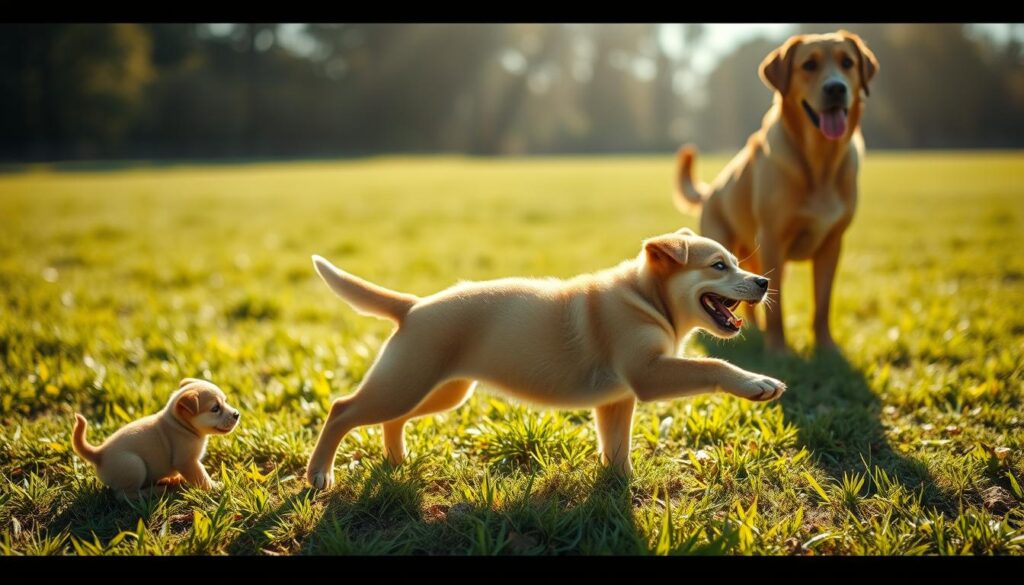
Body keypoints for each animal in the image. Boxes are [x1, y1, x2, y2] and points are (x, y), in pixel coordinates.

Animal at [71, 377, 240, 495]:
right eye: (215, 408)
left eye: (225, 401)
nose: (237, 414)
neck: (180, 425)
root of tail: (99, 453)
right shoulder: (187, 461)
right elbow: (202, 477)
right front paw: (215, 488)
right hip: (134, 465)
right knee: (125, 495)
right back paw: (155, 491)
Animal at [303, 228, 782, 489]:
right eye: (718, 265)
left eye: (736, 262)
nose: (762, 281)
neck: (647, 297)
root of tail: (413, 306)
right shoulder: (647, 374)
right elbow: (712, 366)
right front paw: (757, 383)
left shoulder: (617, 399)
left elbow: (616, 447)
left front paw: (619, 486)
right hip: (405, 382)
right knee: (342, 409)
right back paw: (320, 475)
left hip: (438, 390)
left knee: (392, 419)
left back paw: (397, 461)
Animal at [675, 29, 876, 352]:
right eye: (809, 65)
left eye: (847, 62)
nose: (835, 88)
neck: (820, 162)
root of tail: (711, 191)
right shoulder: (772, 241)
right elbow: (776, 308)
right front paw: (778, 349)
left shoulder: (832, 245)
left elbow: (822, 303)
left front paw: (826, 347)